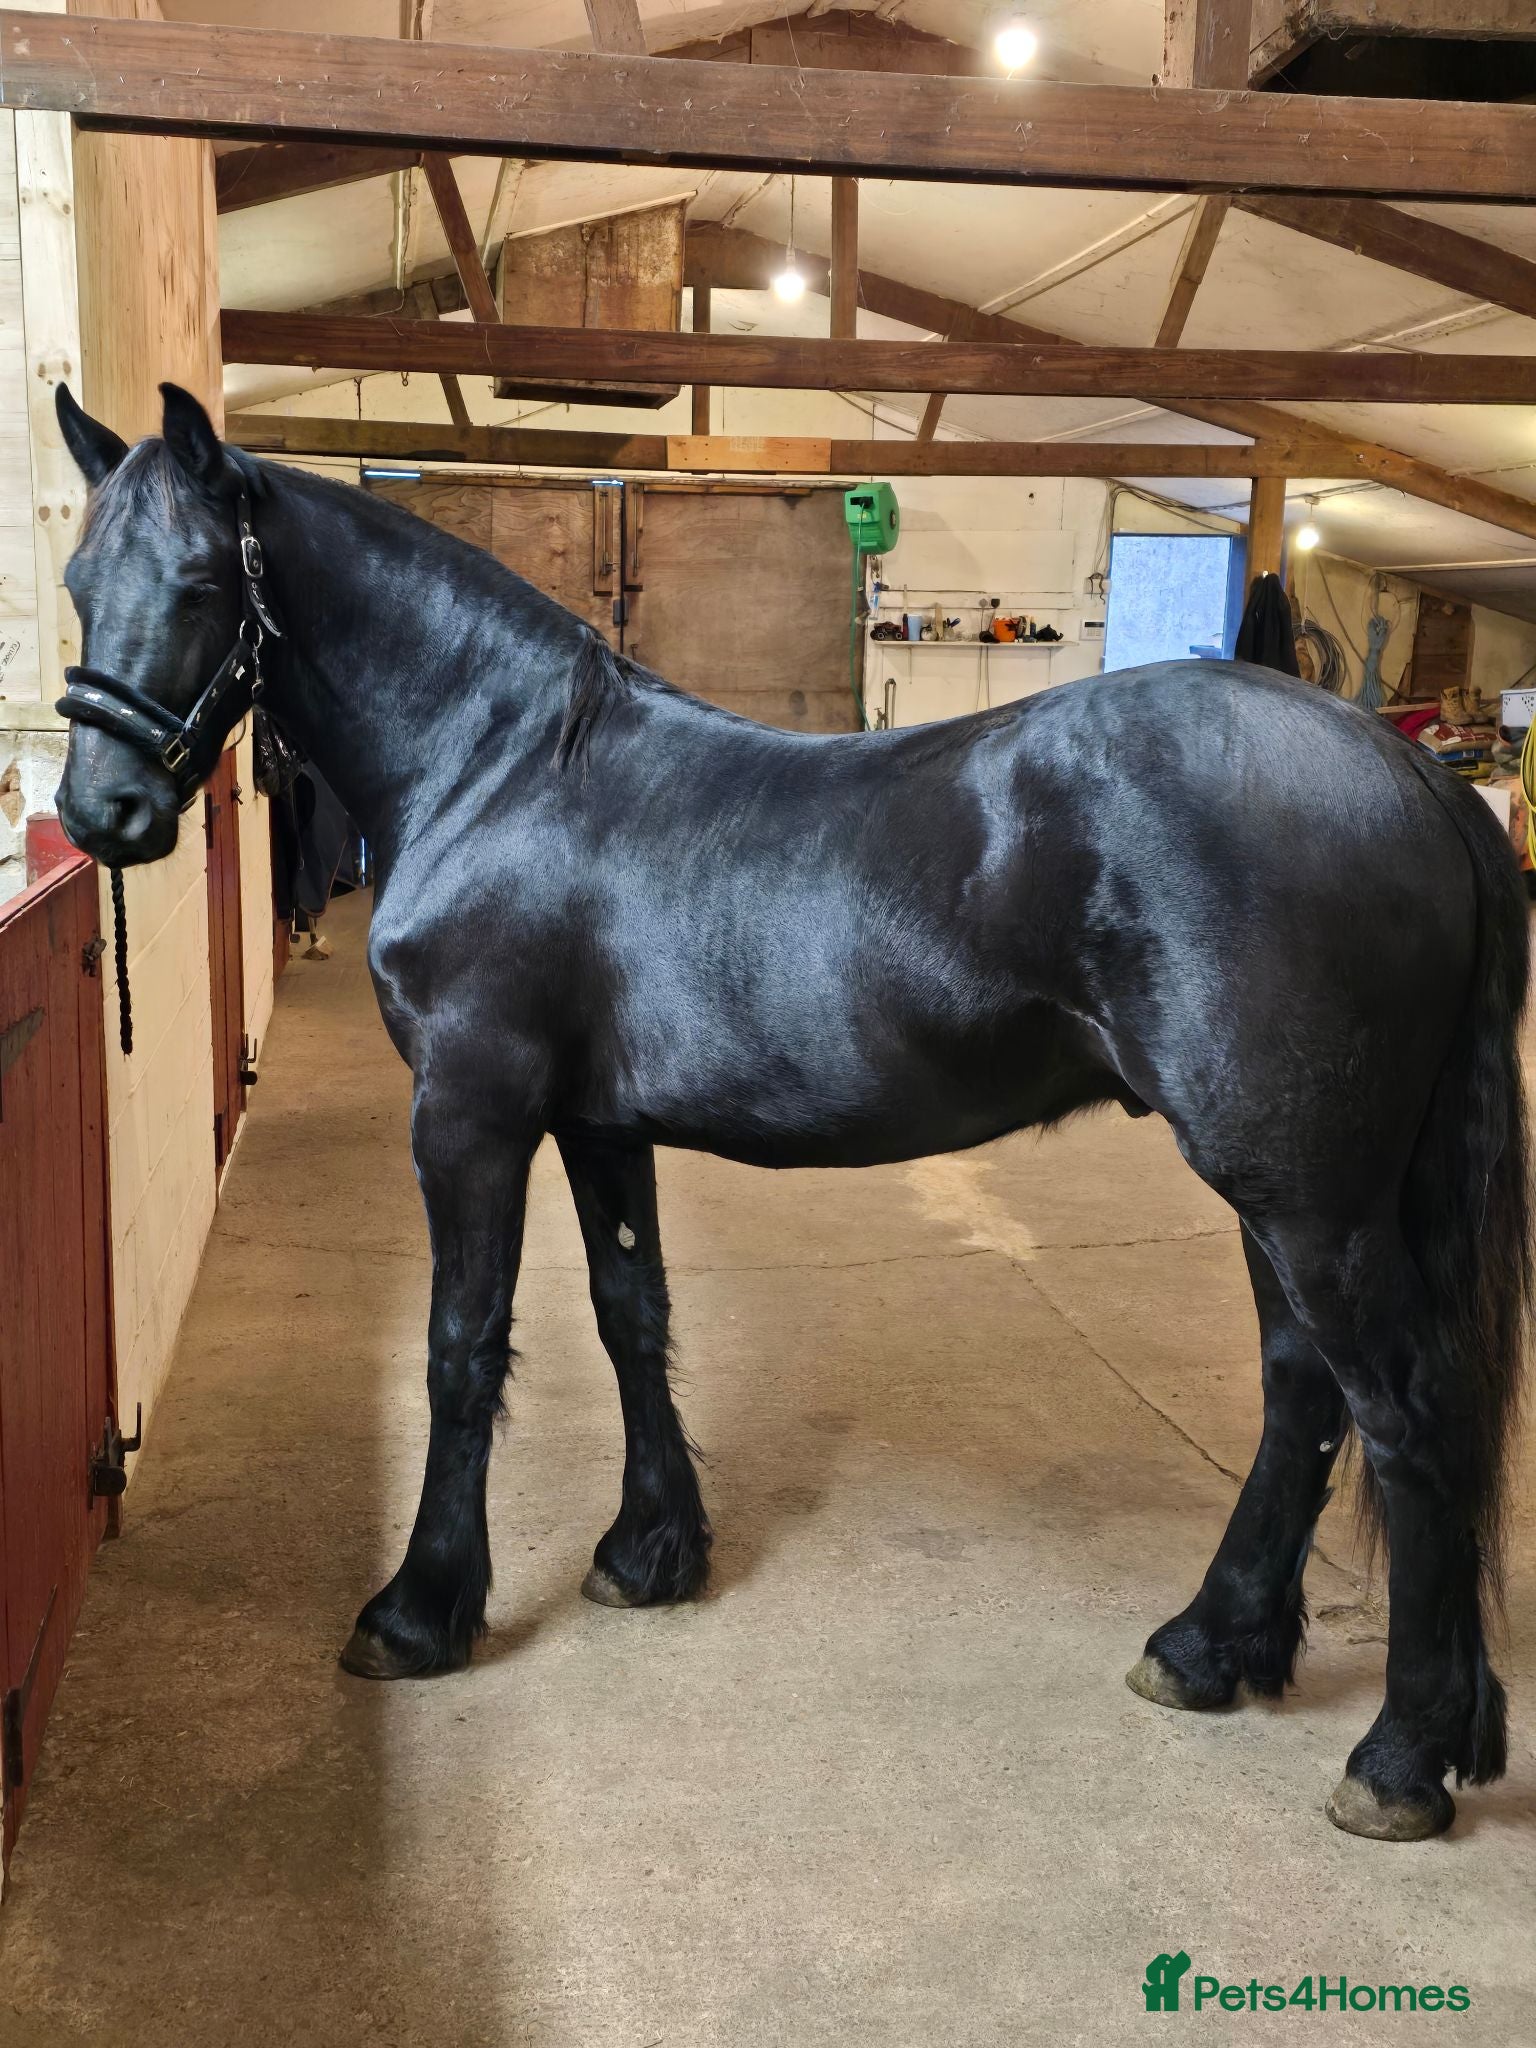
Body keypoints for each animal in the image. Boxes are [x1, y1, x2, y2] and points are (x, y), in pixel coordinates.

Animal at [52, 382, 1530, 1844]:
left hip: (1305, 1196)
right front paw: (650, 1551)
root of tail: (1416, 780)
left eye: (200, 582)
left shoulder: (469, 1112)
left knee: (1405, 1413)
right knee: (1303, 1392)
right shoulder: (597, 1125)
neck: (502, 771)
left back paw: (1399, 1754)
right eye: (75, 580)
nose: (98, 813)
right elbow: (631, 1315)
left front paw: (420, 1611)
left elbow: (460, 1347)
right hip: (1297, 1192)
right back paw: (1213, 1647)